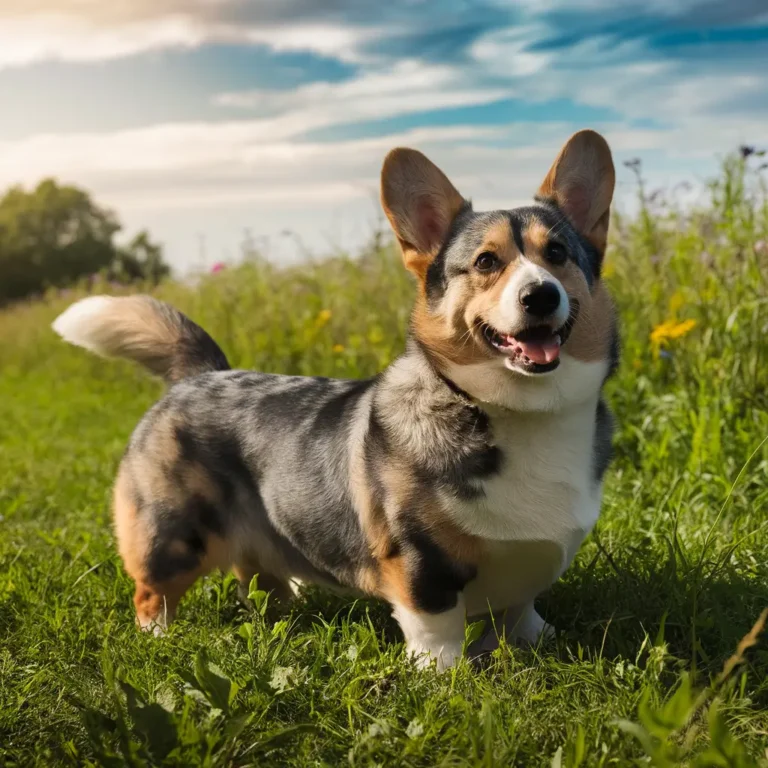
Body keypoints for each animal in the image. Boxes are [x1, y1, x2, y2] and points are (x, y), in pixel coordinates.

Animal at [52, 129, 616, 668]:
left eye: (558, 254)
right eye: (485, 262)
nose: (540, 295)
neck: (519, 410)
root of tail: (200, 374)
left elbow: (523, 610)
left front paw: (537, 639)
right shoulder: (419, 560)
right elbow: (435, 627)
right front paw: (444, 674)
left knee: (258, 580)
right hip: (172, 533)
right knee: (153, 593)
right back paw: (159, 640)